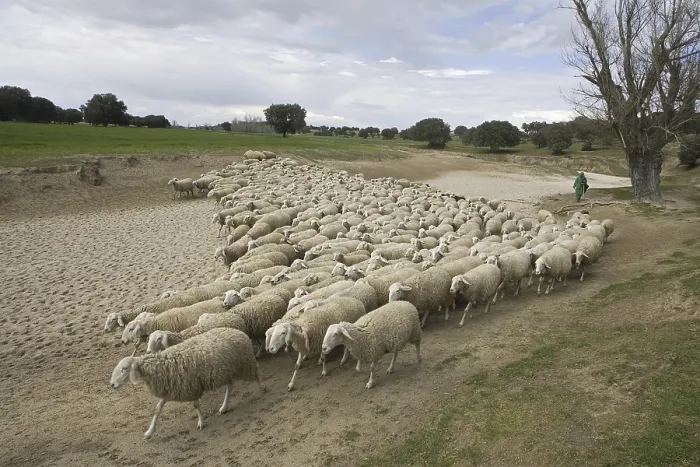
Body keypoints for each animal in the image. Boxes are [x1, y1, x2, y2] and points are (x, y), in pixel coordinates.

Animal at [110, 328, 265, 439]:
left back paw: (261, 389)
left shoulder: (191, 385)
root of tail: (238, 331)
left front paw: (201, 422)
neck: (158, 367)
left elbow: (196, 405)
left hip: (245, 363)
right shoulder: (170, 388)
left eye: (124, 369)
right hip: (226, 370)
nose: (112, 385)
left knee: (256, 375)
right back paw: (224, 407)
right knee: (230, 386)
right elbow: (157, 409)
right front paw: (149, 432)